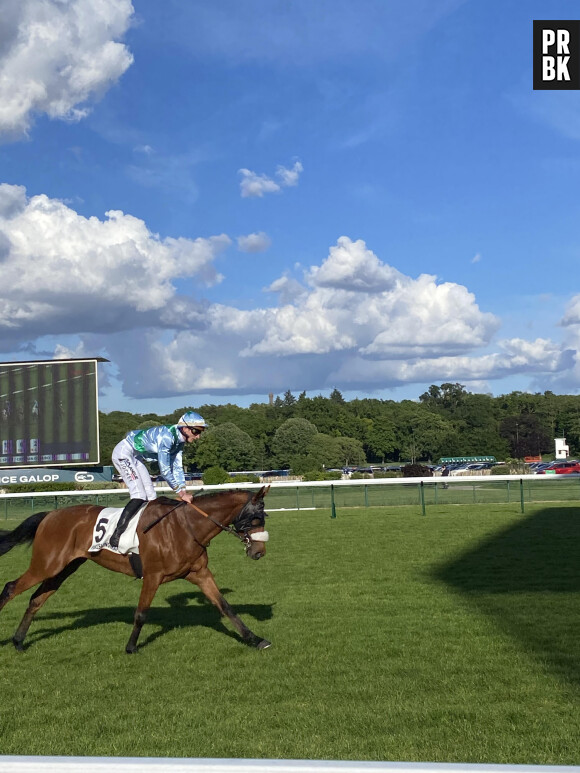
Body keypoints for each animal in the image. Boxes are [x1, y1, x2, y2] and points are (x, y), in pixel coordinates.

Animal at [0, 486, 272, 656]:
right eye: (255, 518)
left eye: (264, 517)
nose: (259, 552)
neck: (186, 526)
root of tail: (50, 515)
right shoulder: (152, 576)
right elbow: (141, 613)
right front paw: (131, 647)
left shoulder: (200, 573)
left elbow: (225, 607)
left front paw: (255, 639)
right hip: (46, 564)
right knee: (11, 588)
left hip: (63, 568)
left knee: (36, 599)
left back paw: (19, 641)